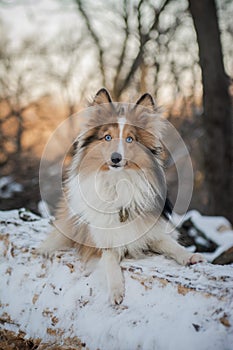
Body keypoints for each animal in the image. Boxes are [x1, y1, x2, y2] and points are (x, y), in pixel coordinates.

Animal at [40, 89, 206, 304]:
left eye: (130, 139)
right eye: (107, 137)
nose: (116, 158)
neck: (118, 182)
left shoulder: (150, 231)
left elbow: (170, 244)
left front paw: (189, 256)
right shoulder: (101, 242)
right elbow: (110, 260)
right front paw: (116, 290)